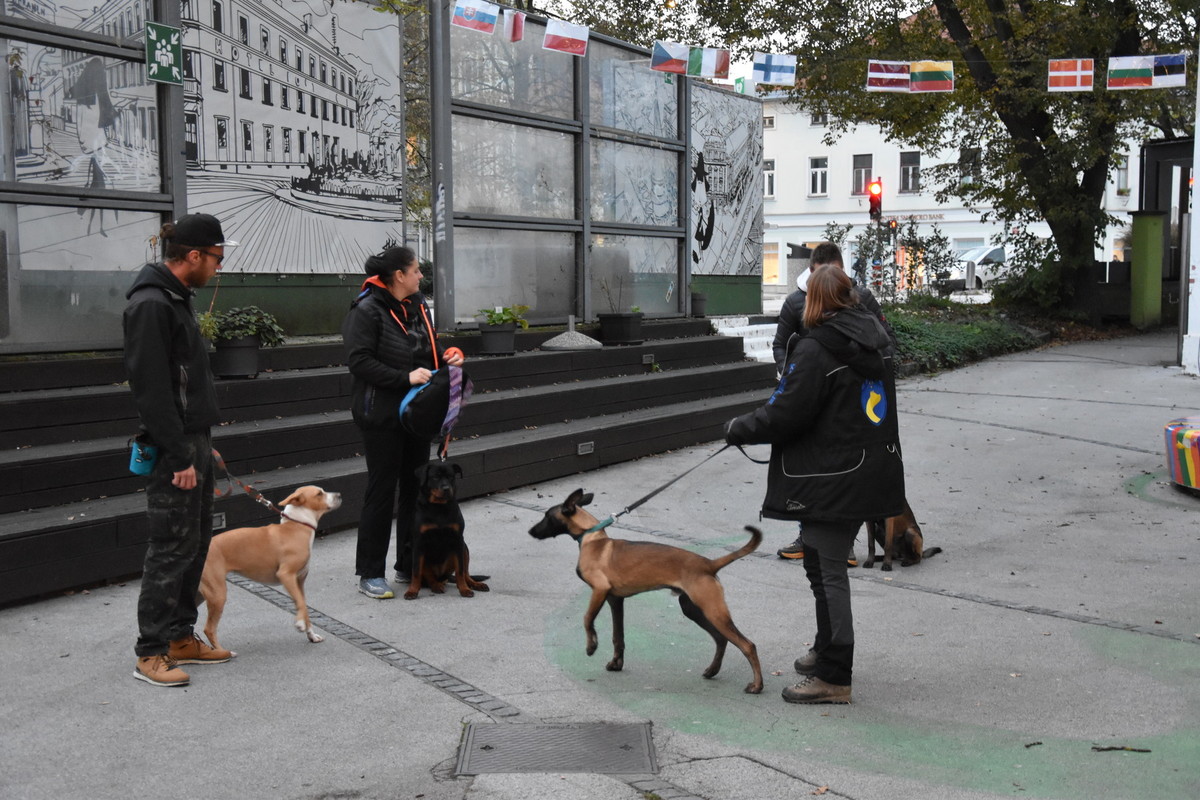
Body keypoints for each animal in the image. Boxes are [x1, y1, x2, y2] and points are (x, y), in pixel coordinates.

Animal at [196, 489, 338, 652]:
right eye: (319, 493)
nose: (339, 495)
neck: (297, 526)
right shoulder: (286, 575)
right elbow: (301, 605)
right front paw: (299, 624)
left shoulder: (299, 583)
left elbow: (304, 605)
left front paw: (312, 635)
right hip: (217, 595)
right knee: (209, 629)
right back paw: (223, 652)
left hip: (201, 595)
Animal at [403, 462, 487, 599]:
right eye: (435, 477)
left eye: (450, 477)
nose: (446, 488)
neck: (439, 507)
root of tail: (442, 577)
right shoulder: (418, 543)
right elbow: (416, 571)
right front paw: (412, 591)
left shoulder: (458, 539)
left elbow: (460, 570)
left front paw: (464, 589)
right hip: (408, 552)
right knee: (429, 577)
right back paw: (436, 586)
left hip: (464, 548)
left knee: (465, 573)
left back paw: (474, 584)